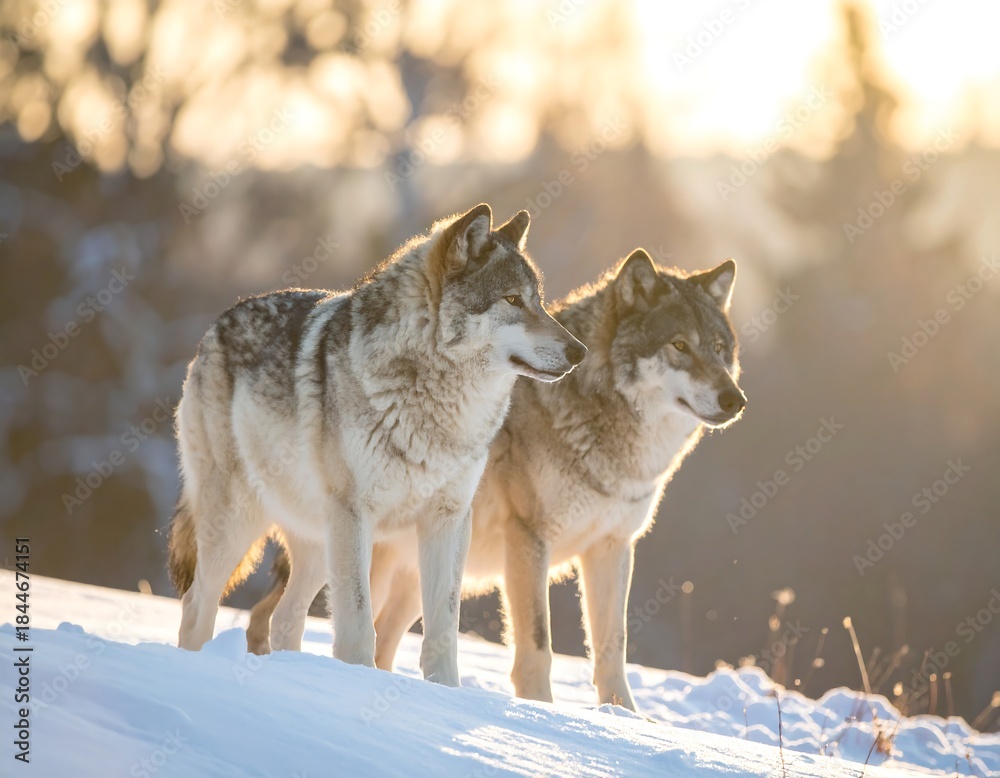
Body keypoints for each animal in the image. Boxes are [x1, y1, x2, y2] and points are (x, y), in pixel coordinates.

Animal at [168, 203, 586, 688]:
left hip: (317, 541)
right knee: (197, 604)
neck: (439, 406)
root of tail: (218, 322)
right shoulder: (355, 514)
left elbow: (443, 628)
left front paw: (445, 691)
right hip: (240, 524)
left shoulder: (448, 520)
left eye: (539, 301)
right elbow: (357, 622)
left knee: (283, 618)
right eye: (513, 301)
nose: (580, 352)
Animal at [247, 248, 745, 708]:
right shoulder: (529, 540)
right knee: (268, 617)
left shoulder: (614, 547)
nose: (735, 399)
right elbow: (538, 644)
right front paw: (541, 710)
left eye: (721, 351)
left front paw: (624, 719)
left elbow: (612, 646)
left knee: (384, 638)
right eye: (679, 346)